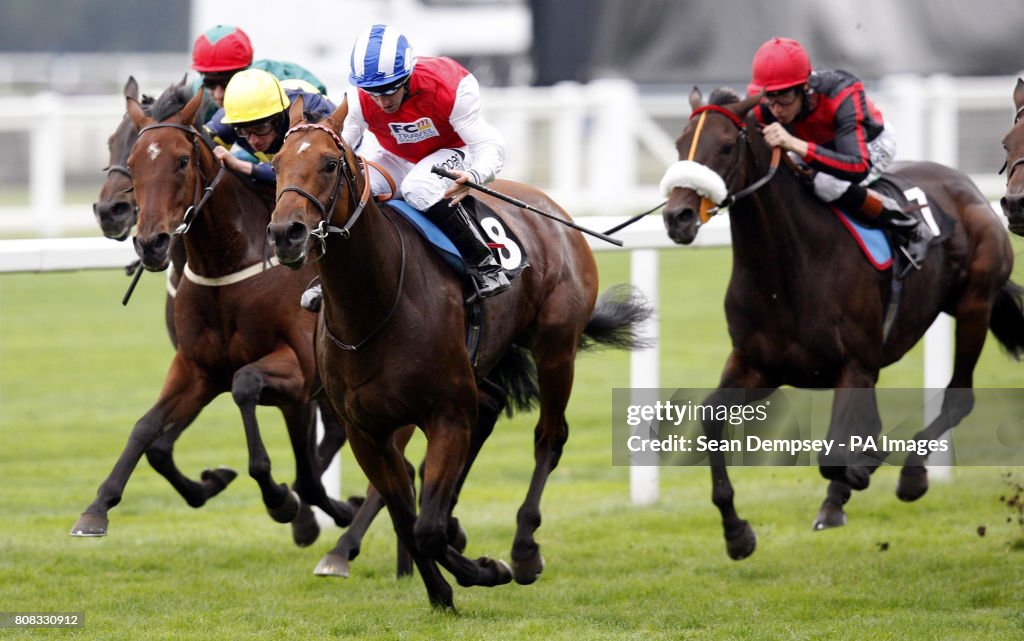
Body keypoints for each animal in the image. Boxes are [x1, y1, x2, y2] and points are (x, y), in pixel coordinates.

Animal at [70, 78, 354, 540]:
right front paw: (98, 507)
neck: (226, 262)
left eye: (182, 160)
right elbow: (148, 434)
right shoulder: (198, 368)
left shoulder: (298, 370)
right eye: (128, 158)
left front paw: (283, 501)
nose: (148, 241)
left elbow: (247, 387)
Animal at [266, 97, 647, 606]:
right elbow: (406, 519)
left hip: (556, 347)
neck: (373, 306)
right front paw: (441, 591)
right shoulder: (366, 431)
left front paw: (486, 569)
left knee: (549, 437)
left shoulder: (445, 414)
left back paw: (524, 549)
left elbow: (423, 529)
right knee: (489, 408)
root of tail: (548, 207)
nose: (285, 233)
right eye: (276, 164)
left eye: (329, 164)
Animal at [659, 87, 1019, 557]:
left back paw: (910, 474)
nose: (677, 217)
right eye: (679, 145)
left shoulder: (854, 365)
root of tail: (971, 189)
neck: (786, 269)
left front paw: (862, 471)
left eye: (723, 146)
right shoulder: (759, 365)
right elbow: (709, 419)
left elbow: (834, 455)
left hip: (975, 305)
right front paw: (736, 533)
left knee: (959, 398)